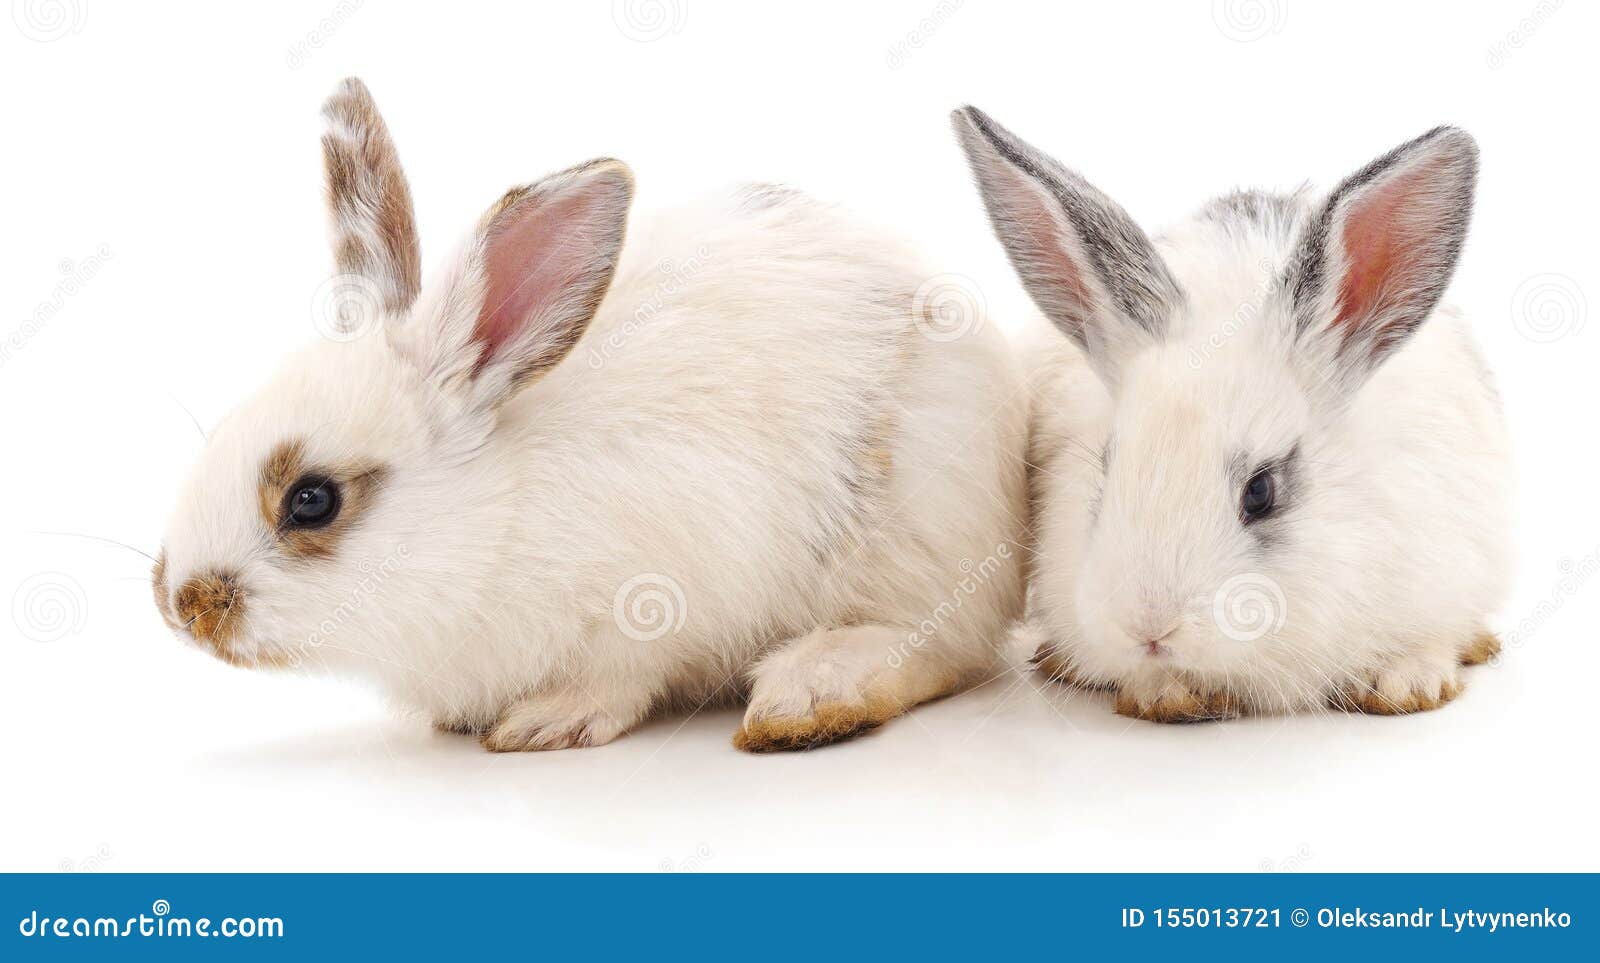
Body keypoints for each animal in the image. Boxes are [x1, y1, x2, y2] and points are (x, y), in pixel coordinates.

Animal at [151, 79, 1030, 752]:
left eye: (312, 499)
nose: (182, 605)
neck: (495, 517)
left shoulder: (660, 593)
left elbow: (619, 677)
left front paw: (547, 722)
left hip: (918, 532)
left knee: (939, 643)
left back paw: (806, 696)